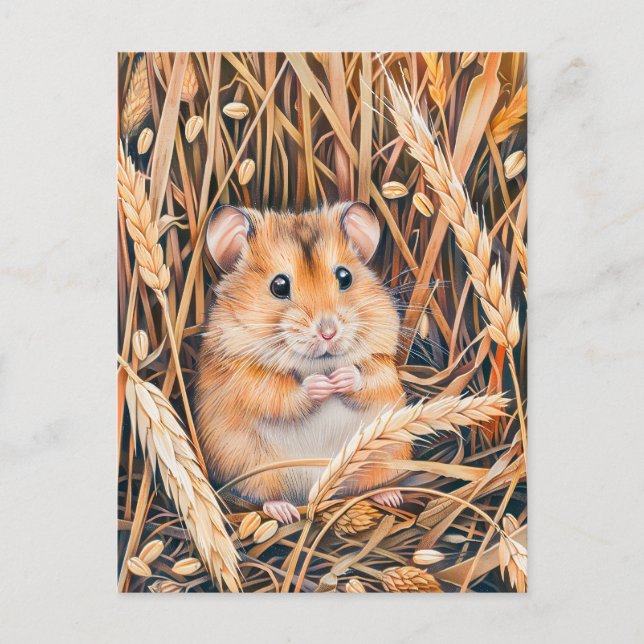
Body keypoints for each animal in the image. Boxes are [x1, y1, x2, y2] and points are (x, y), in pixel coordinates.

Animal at [195, 201, 409, 524]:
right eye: (279, 285)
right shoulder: (244, 377)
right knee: (265, 495)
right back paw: (284, 513)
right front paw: (321, 385)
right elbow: (277, 393)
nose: (328, 332)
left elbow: (373, 379)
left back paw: (391, 496)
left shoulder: (383, 363)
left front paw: (341, 379)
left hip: (387, 452)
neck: (318, 363)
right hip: (252, 466)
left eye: (345, 277)